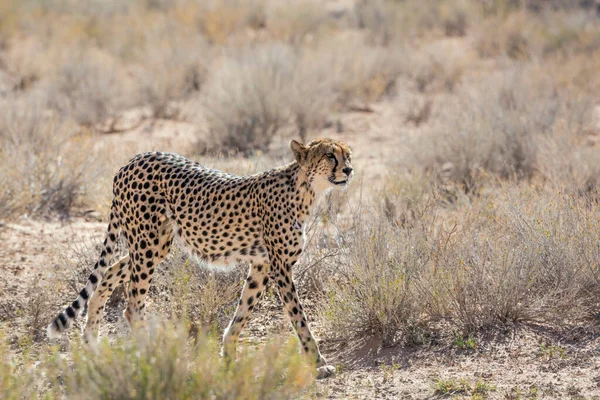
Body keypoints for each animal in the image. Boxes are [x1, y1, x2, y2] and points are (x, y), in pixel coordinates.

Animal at [49, 138, 354, 378]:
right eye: (330, 155)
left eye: (348, 154)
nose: (349, 169)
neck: (306, 189)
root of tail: (134, 159)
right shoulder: (280, 267)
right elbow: (298, 317)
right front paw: (318, 362)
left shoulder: (261, 265)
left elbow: (242, 311)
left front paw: (228, 355)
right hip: (147, 244)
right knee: (132, 305)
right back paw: (149, 353)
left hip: (155, 245)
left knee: (109, 273)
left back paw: (91, 344)